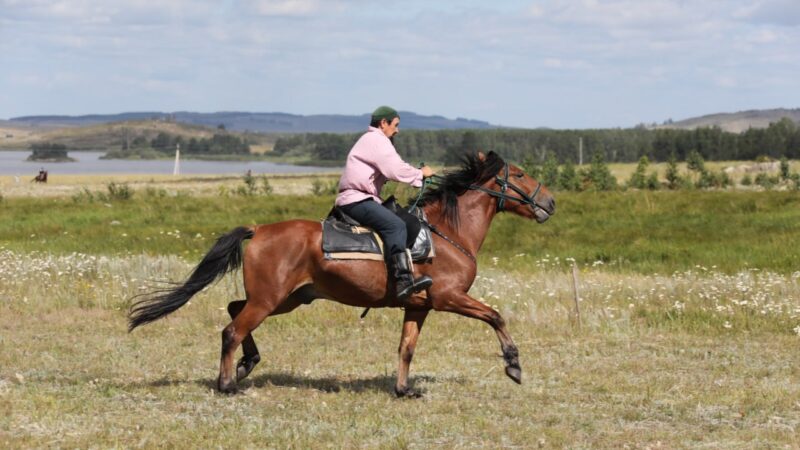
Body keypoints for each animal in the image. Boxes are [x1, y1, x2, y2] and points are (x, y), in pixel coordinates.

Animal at [131, 152, 556, 398]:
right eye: (519, 174)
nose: (550, 202)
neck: (447, 233)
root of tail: (260, 229)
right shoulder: (449, 298)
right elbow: (495, 316)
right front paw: (513, 365)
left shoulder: (419, 306)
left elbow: (406, 348)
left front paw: (403, 390)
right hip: (270, 299)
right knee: (231, 330)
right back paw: (227, 385)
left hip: (286, 299)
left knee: (235, 309)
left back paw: (247, 363)